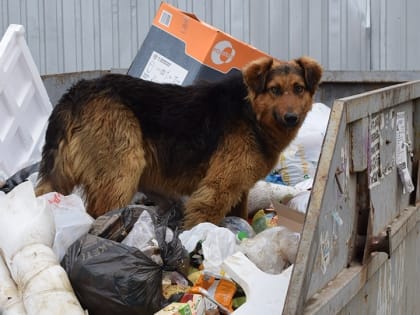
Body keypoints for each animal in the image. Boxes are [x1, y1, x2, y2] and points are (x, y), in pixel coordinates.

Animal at [36, 57, 324, 230]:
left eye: (298, 88)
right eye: (275, 90)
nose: (291, 118)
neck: (251, 110)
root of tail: (76, 92)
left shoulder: (238, 189)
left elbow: (241, 216)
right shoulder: (217, 189)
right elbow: (205, 218)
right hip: (122, 171)